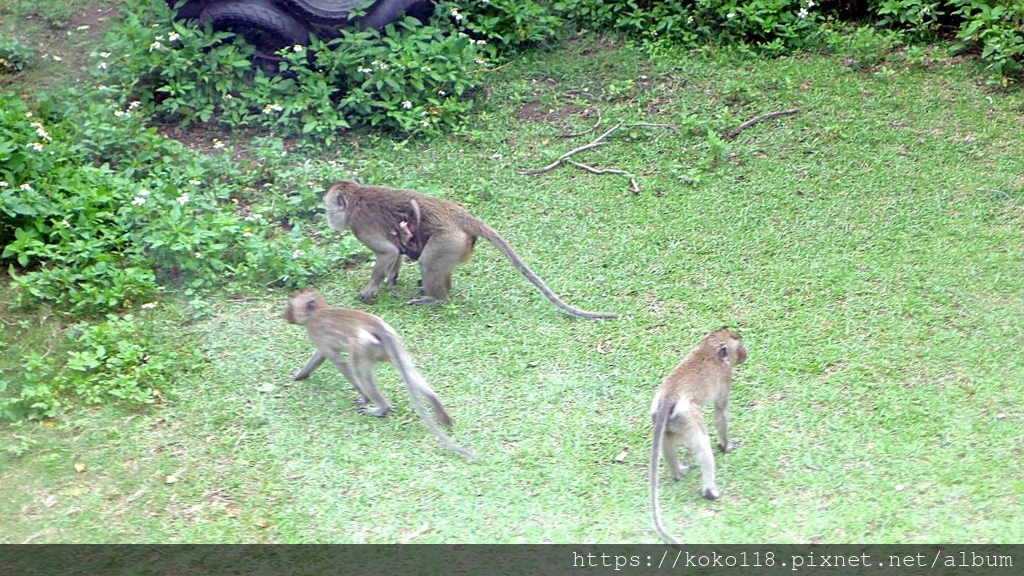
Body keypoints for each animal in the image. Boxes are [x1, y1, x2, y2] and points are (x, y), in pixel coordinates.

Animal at [284, 286, 475, 457]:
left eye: (290, 306)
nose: (284, 315)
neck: (319, 310)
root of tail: (378, 327)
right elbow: (320, 356)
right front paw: (300, 375)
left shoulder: (315, 332)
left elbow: (338, 362)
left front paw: (364, 398)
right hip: (393, 344)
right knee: (407, 370)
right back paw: (437, 406)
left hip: (364, 347)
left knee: (360, 372)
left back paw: (382, 408)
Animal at [319, 179, 614, 317]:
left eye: (329, 206)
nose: (327, 217)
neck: (356, 199)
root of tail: (462, 216)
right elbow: (394, 252)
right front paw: (392, 279)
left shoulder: (360, 225)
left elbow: (387, 253)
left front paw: (371, 288)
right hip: (457, 245)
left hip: (448, 240)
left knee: (428, 262)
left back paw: (437, 298)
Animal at [651, 327, 749, 541]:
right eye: (738, 346)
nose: (745, 353)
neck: (708, 350)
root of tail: (668, 397)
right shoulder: (725, 376)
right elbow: (720, 412)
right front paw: (726, 446)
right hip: (688, 418)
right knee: (703, 446)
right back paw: (710, 492)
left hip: (665, 418)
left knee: (667, 440)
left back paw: (678, 473)